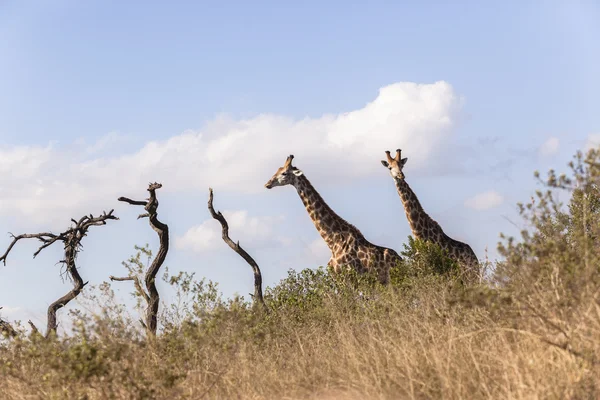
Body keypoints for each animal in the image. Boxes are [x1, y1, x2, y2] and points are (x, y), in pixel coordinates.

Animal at [264, 154, 400, 284]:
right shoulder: (337, 277)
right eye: (278, 169)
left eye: (284, 173)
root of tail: (401, 259)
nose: (267, 184)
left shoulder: (351, 276)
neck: (332, 242)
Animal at [382, 148, 480, 282]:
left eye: (402, 165)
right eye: (390, 167)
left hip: (470, 277)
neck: (419, 234)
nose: (401, 175)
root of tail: (475, 259)